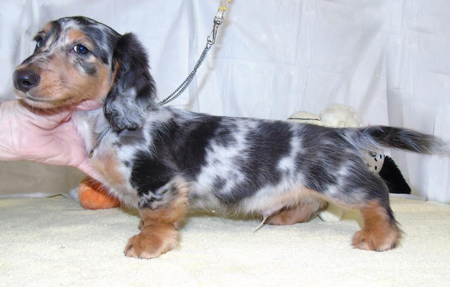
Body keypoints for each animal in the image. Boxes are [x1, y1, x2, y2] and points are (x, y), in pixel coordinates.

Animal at [12, 15, 448, 258]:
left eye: (81, 49)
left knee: (375, 195)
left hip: (337, 180)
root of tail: (339, 132)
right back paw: (283, 217)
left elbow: (155, 215)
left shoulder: (161, 181)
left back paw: (379, 236)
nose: (21, 78)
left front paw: (148, 243)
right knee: (309, 203)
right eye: (39, 41)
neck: (106, 124)